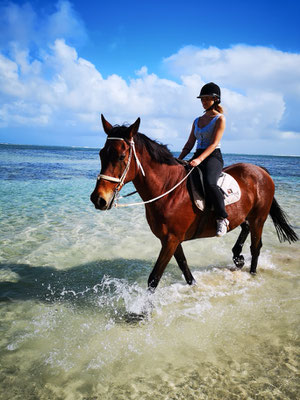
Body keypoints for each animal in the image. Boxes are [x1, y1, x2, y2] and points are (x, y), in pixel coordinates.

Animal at [90, 115, 298, 290]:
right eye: (101, 154)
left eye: (121, 157)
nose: (98, 199)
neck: (168, 189)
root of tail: (261, 171)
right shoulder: (171, 239)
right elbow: (183, 265)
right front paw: (194, 286)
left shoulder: (171, 239)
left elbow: (154, 277)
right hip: (246, 216)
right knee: (245, 229)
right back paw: (237, 256)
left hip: (259, 218)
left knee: (255, 247)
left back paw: (252, 273)